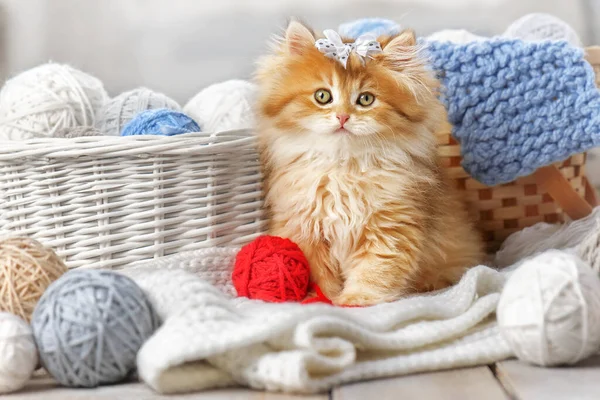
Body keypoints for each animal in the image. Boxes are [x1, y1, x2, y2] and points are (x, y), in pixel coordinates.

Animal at [253, 20, 482, 304]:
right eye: (322, 96)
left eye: (365, 99)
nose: (342, 117)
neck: (343, 167)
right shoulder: (303, 229)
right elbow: (319, 275)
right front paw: (323, 299)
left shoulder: (392, 227)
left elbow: (374, 272)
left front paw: (353, 301)